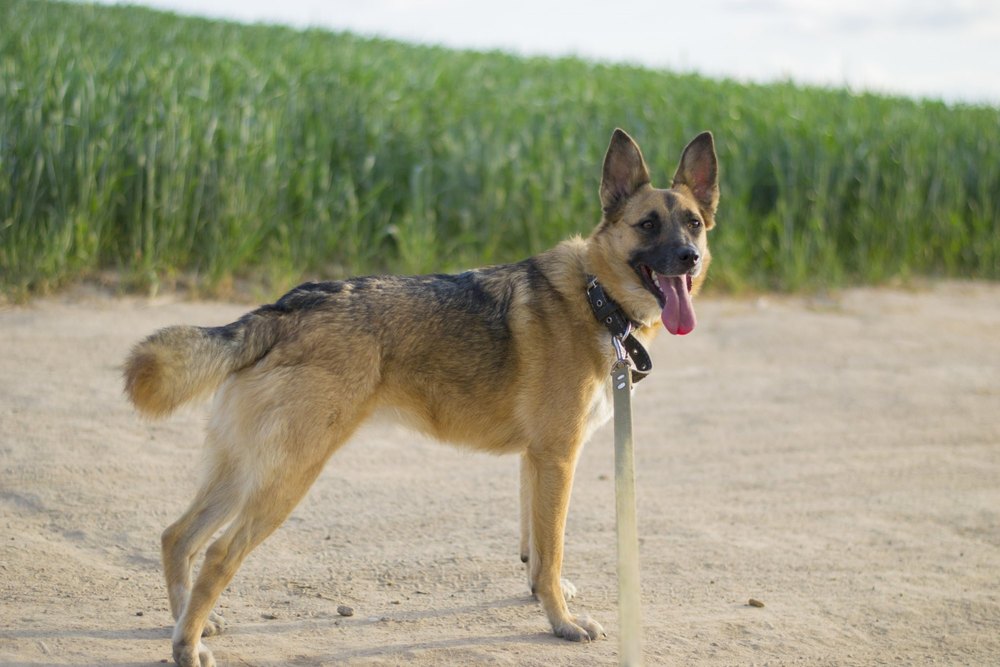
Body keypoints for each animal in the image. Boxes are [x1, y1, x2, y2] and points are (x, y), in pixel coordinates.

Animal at [125, 128, 720, 664]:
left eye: (693, 223)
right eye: (648, 224)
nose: (688, 257)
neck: (596, 298)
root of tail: (285, 306)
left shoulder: (536, 461)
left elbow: (535, 554)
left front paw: (543, 600)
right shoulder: (557, 459)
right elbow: (550, 555)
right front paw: (562, 623)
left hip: (244, 469)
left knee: (177, 537)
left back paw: (187, 624)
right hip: (286, 478)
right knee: (218, 554)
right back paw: (187, 645)